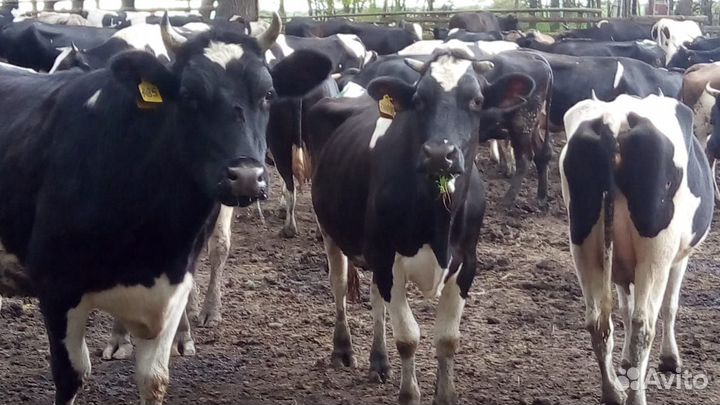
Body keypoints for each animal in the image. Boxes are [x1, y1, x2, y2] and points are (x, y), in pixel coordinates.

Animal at [0, 13, 331, 405]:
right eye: (188, 96)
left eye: (268, 94)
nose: (247, 177)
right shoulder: (56, 286)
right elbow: (71, 376)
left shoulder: (170, 288)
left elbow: (154, 379)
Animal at [309, 47, 533, 405]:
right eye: (418, 100)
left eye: (477, 100)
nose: (440, 154)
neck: (437, 220)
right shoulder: (389, 259)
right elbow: (408, 337)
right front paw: (409, 393)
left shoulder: (466, 262)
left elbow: (447, 338)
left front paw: (446, 395)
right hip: (330, 228)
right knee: (339, 285)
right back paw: (343, 349)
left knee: (375, 297)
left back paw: (379, 362)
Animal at [560, 94, 713, 405]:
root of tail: (614, 119)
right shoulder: (678, 259)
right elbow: (669, 305)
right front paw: (669, 359)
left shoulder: (619, 268)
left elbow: (624, 308)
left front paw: (626, 362)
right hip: (655, 254)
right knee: (644, 324)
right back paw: (636, 396)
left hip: (583, 245)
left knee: (597, 322)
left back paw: (613, 392)